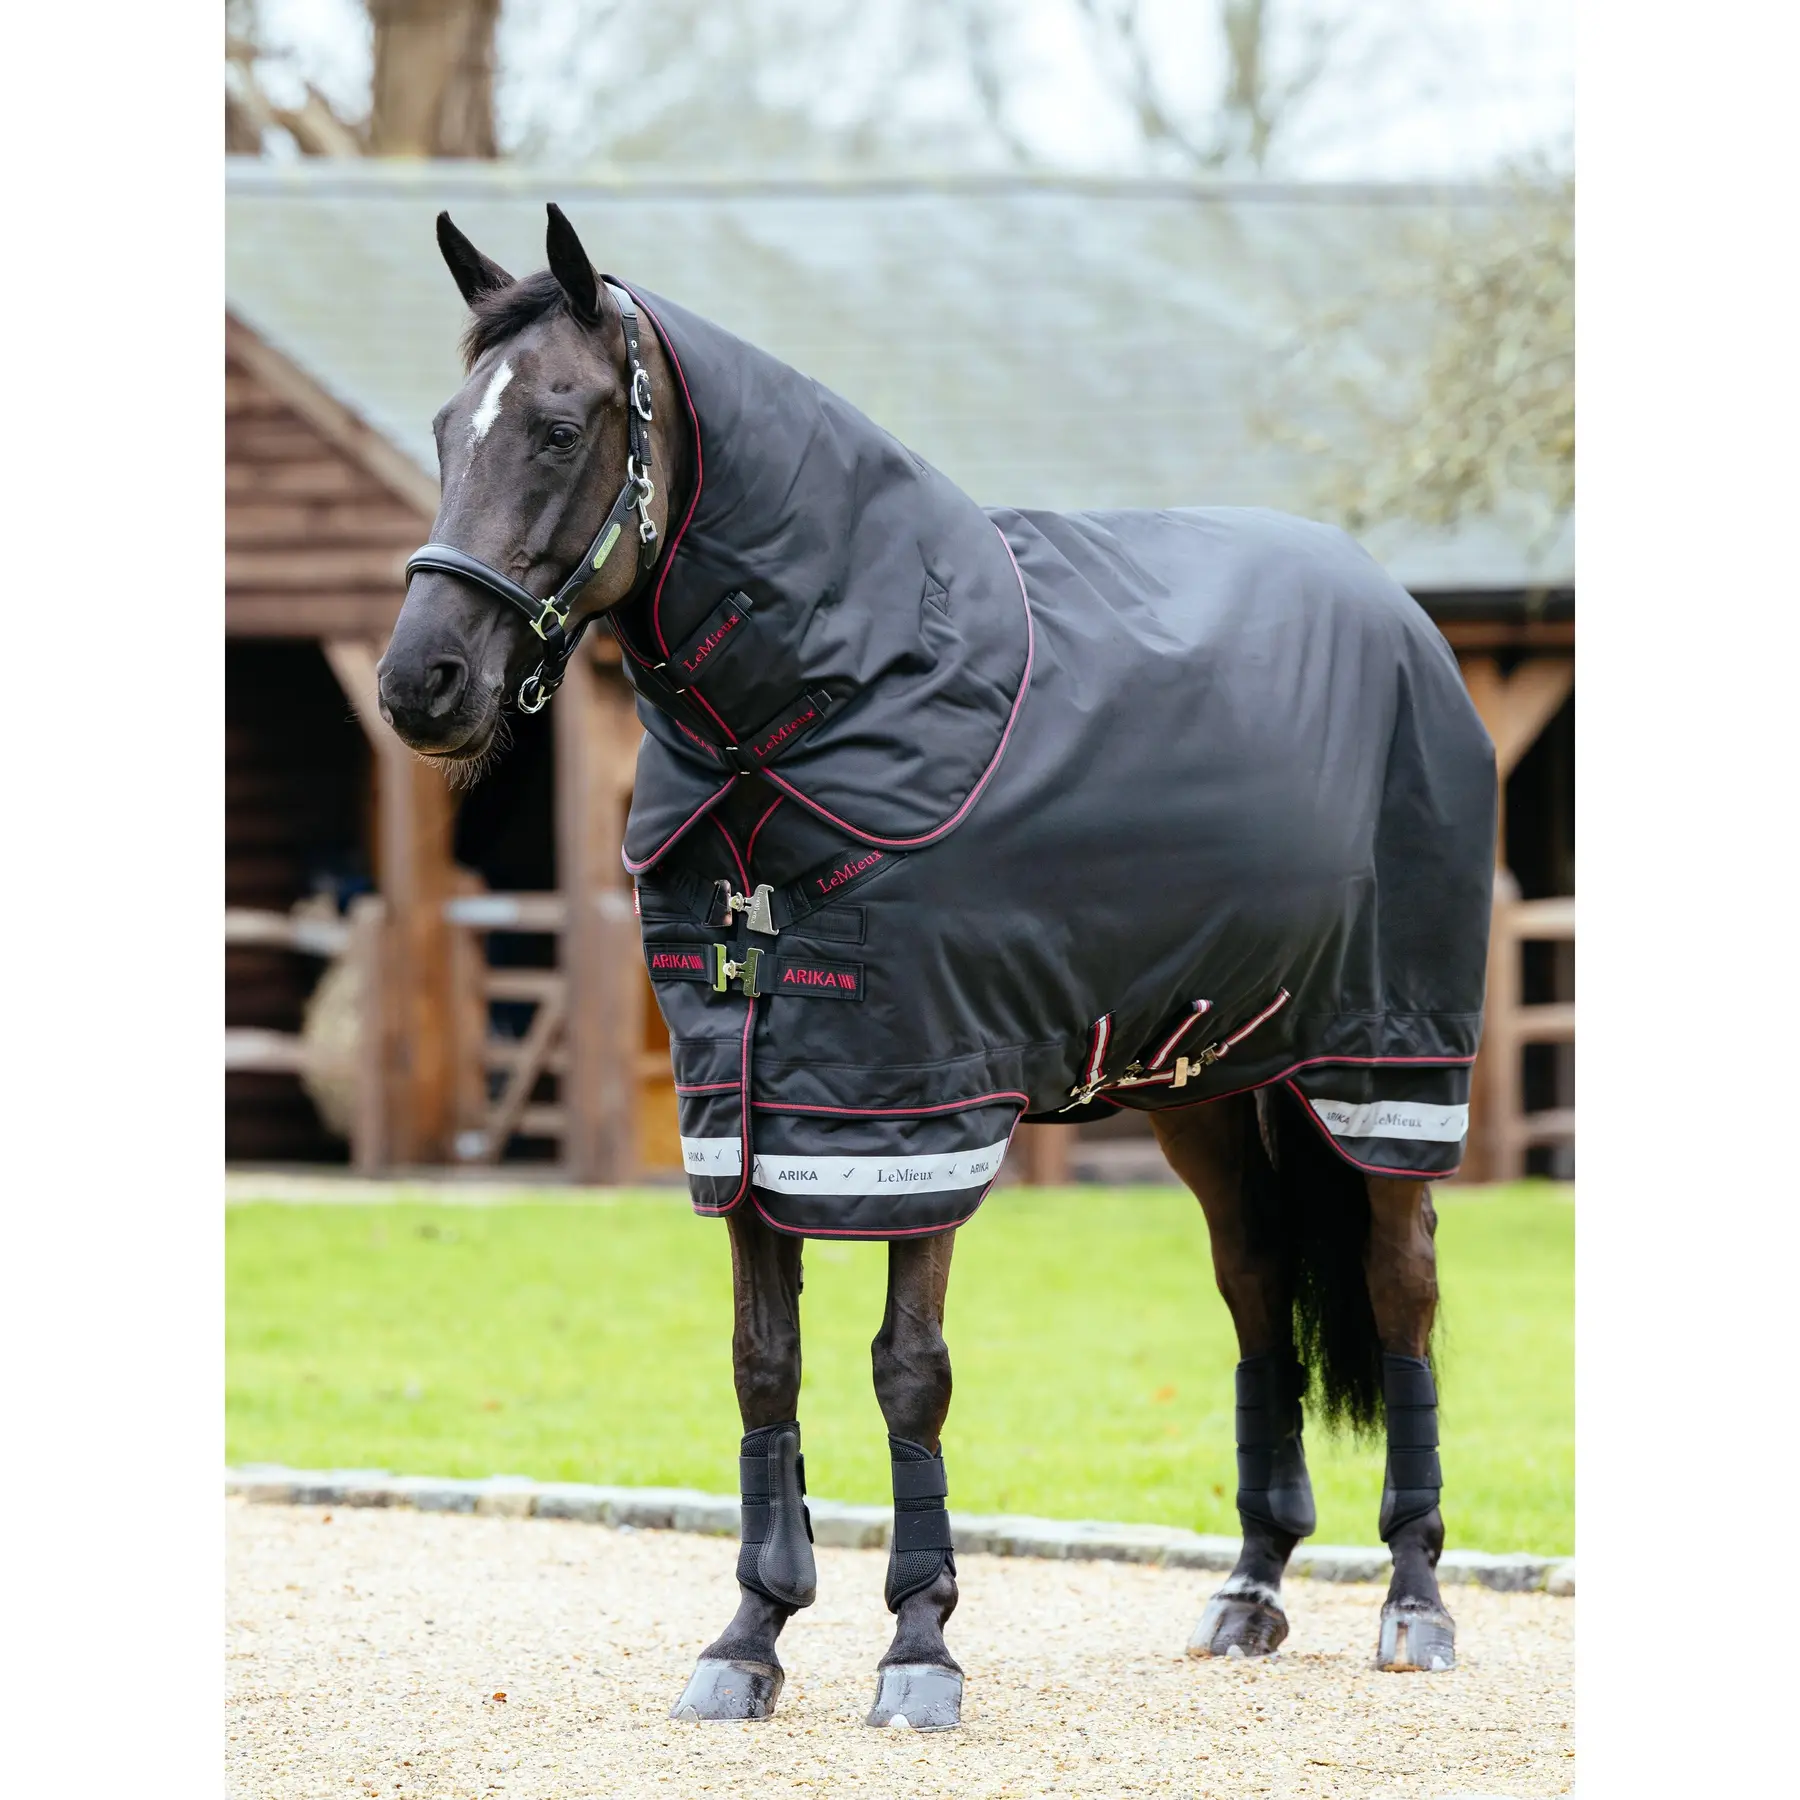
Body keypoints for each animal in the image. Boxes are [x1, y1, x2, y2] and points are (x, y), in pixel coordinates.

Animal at [377, 203, 1496, 1730]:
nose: (419, 682)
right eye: (447, 428)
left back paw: (1415, 1600)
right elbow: (763, 1365)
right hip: (1207, 1084)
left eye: (556, 427)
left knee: (1403, 1293)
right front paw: (750, 1637)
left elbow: (909, 1376)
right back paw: (1252, 1586)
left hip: (1382, 1071)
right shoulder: (747, 1111)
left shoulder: (918, 1109)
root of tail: (1405, 621)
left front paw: (918, 1648)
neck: (827, 710)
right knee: (1258, 1286)